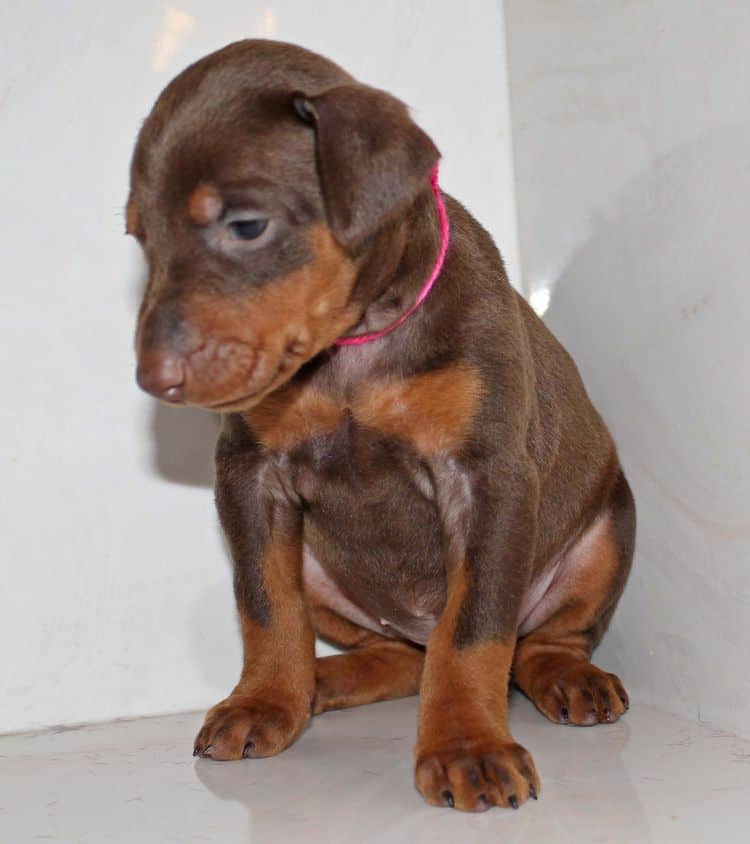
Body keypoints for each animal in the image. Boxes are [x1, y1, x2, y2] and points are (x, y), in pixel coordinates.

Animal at [128, 38, 636, 812]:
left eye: (246, 225)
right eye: (139, 236)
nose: (153, 379)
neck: (353, 347)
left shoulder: (487, 479)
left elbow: (474, 631)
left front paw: (468, 748)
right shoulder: (250, 478)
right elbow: (266, 606)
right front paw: (264, 702)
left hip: (607, 527)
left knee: (537, 639)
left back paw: (568, 676)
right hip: (322, 568)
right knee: (397, 655)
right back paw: (320, 681)